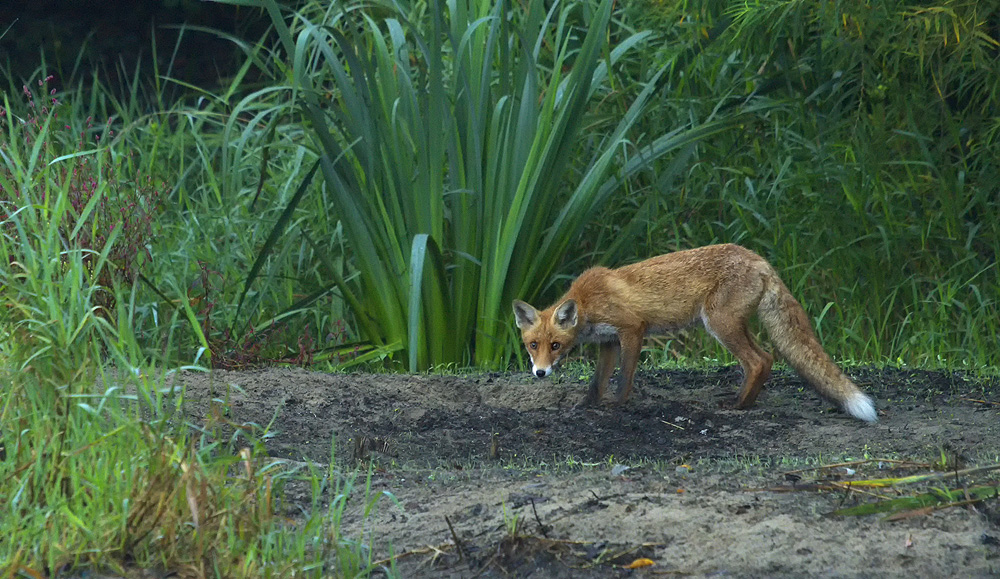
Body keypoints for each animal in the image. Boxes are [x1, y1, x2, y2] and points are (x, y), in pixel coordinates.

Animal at [516, 244, 876, 422]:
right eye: (533, 345)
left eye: (556, 345)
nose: (540, 373)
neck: (588, 303)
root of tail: (759, 259)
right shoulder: (608, 341)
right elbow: (598, 381)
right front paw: (586, 405)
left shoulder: (632, 329)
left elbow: (624, 376)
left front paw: (618, 405)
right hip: (734, 325)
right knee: (766, 358)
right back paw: (743, 401)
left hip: (719, 324)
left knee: (759, 361)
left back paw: (737, 407)